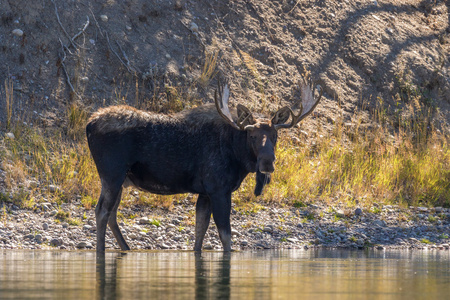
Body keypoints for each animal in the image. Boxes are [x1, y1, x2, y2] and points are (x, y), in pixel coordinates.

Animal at [86, 77, 322, 253]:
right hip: (112, 174)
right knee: (102, 211)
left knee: (112, 214)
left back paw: (126, 248)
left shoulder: (205, 192)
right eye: (252, 135)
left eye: (275, 135)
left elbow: (199, 232)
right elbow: (226, 236)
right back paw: (102, 251)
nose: (267, 163)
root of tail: (88, 124)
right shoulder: (219, 189)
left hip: (121, 180)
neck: (237, 157)